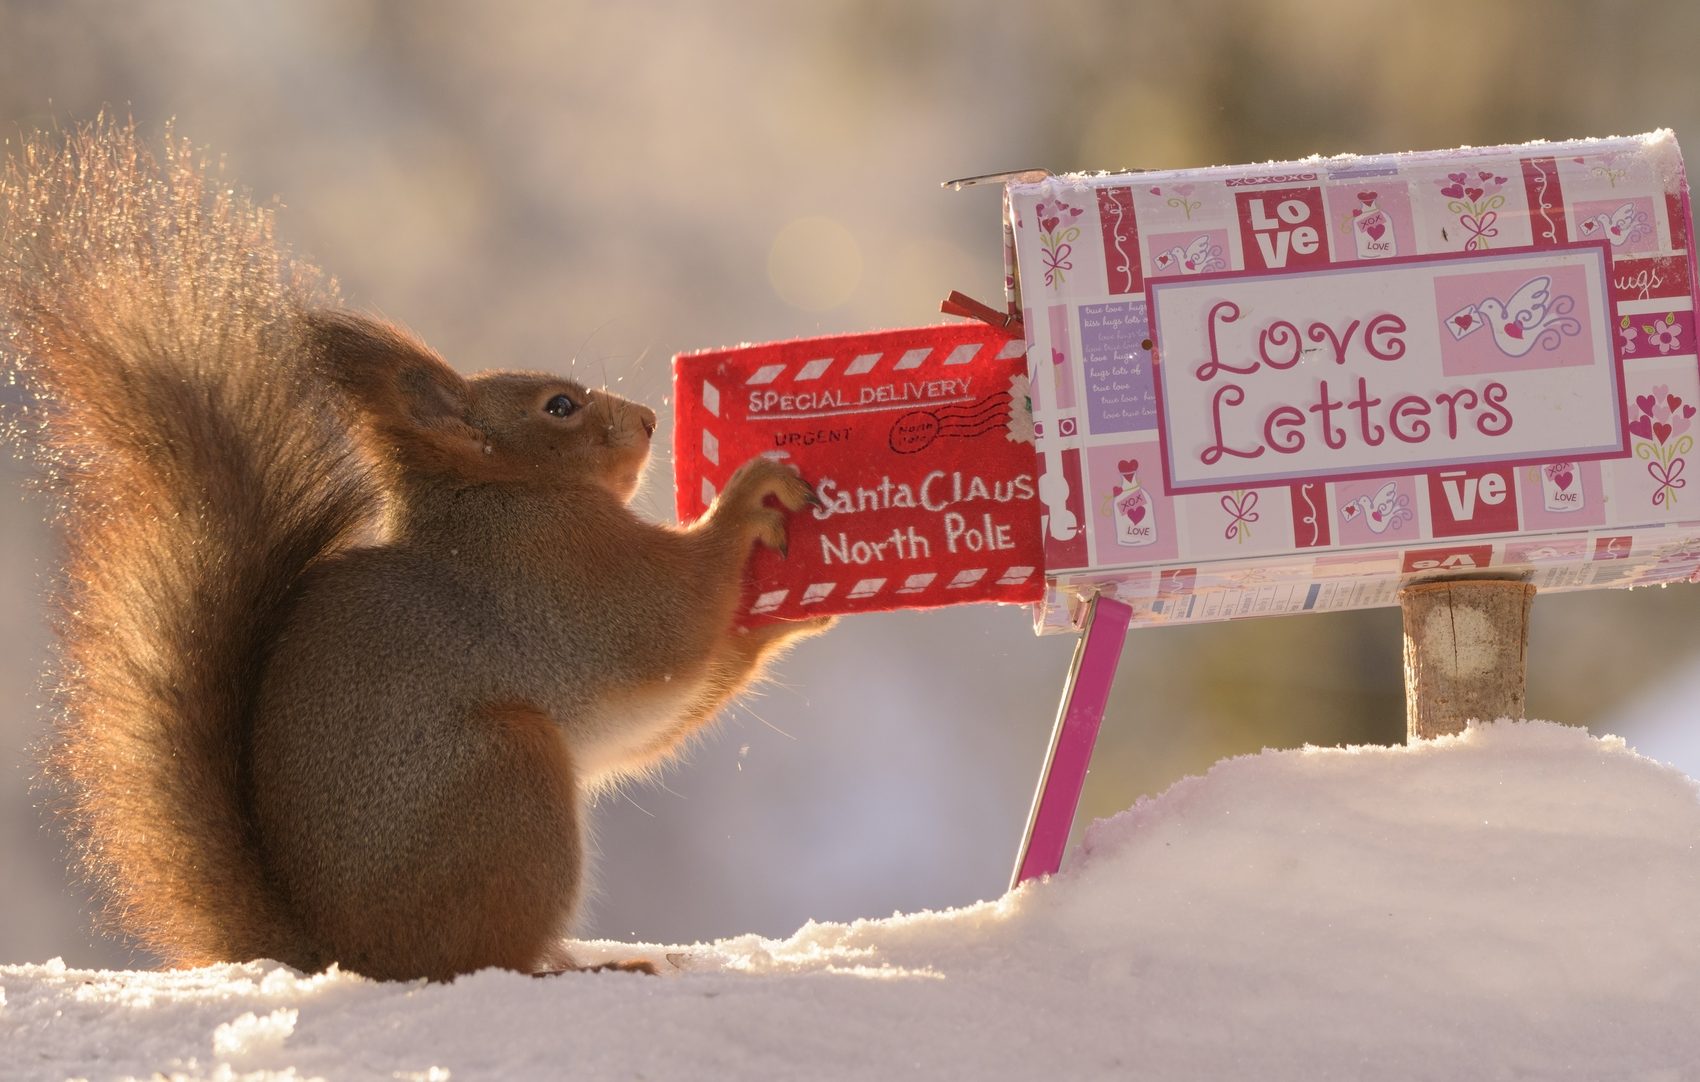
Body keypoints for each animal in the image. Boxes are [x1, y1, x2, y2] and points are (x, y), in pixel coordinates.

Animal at [0, 119, 831, 981]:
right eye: (559, 407)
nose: (646, 419)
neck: (502, 492)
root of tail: (345, 952)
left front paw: (788, 618)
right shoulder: (568, 574)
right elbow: (674, 612)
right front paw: (751, 496)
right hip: (508, 780)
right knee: (491, 956)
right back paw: (586, 965)